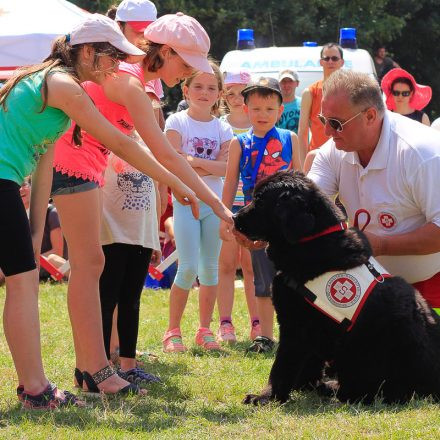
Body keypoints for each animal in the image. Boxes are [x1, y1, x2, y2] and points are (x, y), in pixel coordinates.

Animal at [235, 170, 440, 404]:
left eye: (260, 201)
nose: (234, 218)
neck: (311, 243)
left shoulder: (295, 326)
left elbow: (282, 368)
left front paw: (266, 397)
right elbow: (308, 366)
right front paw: (303, 386)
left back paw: (330, 387)